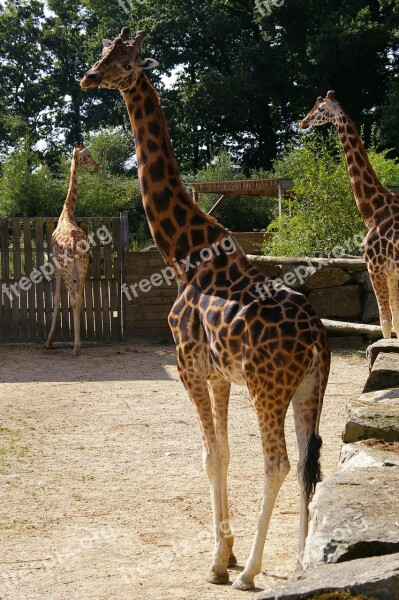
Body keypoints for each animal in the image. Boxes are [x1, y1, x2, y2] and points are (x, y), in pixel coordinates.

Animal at [45, 141, 99, 356]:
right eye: (88, 155)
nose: (97, 166)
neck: (67, 213)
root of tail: (77, 247)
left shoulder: (57, 267)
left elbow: (57, 298)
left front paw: (49, 341)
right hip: (83, 266)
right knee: (79, 298)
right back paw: (79, 344)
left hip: (69, 268)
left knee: (74, 298)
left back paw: (76, 347)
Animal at [81, 29, 332, 592]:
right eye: (103, 52)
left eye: (125, 61)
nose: (89, 77)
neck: (182, 252)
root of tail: (315, 339)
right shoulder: (219, 376)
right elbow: (223, 454)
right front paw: (226, 550)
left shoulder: (188, 366)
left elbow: (210, 455)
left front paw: (221, 563)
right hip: (309, 388)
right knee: (309, 461)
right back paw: (301, 563)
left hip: (268, 386)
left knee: (278, 463)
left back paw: (254, 573)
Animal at [300, 91, 399, 340]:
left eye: (320, 109)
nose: (302, 121)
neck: (372, 212)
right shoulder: (391, 272)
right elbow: (396, 321)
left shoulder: (374, 266)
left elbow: (385, 322)